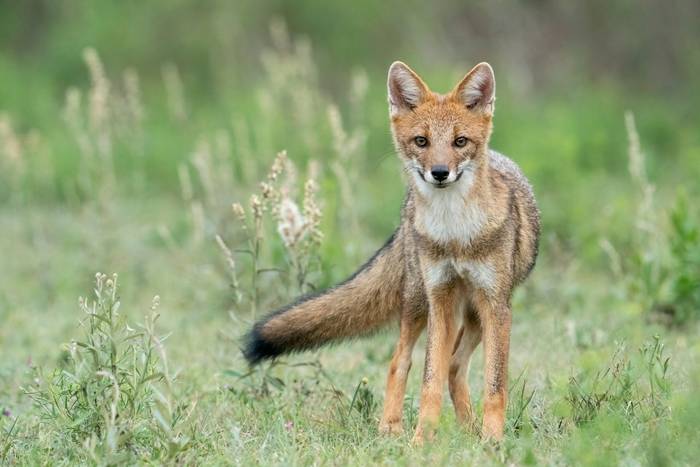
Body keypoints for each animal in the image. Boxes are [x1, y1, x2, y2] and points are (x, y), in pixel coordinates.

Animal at [243, 61, 540, 443]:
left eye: (460, 142)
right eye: (421, 141)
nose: (439, 173)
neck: (456, 235)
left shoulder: (496, 306)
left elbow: (494, 384)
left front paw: (491, 442)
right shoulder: (440, 299)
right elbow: (428, 380)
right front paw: (421, 441)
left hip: (474, 312)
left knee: (455, 366)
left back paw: (469, 430)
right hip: (419, 301)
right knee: (402, 360)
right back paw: (392, 428)